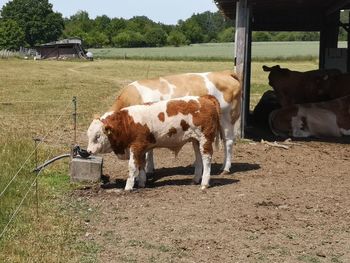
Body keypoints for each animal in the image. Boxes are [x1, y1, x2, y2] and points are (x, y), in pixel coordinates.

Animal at [86, 96, 220, 191]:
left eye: (97, 136)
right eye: (89, 135)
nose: (88, 151)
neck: (126, 124)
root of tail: (204, 98)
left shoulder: (136, 147)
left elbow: (132, 166)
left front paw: (128, 187)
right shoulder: (141, 149)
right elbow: (140, 165)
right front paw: (141, 183)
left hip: (205, 138)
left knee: (207, 158)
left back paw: (204, 183)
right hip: (196, 140)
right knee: (199, 158)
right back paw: (196, 179)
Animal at [109, 70, 241, 173]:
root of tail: (225, 73)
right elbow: (150, 150)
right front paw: (150, 169)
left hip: (227, 118)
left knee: (228, 141)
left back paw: (226, 168)